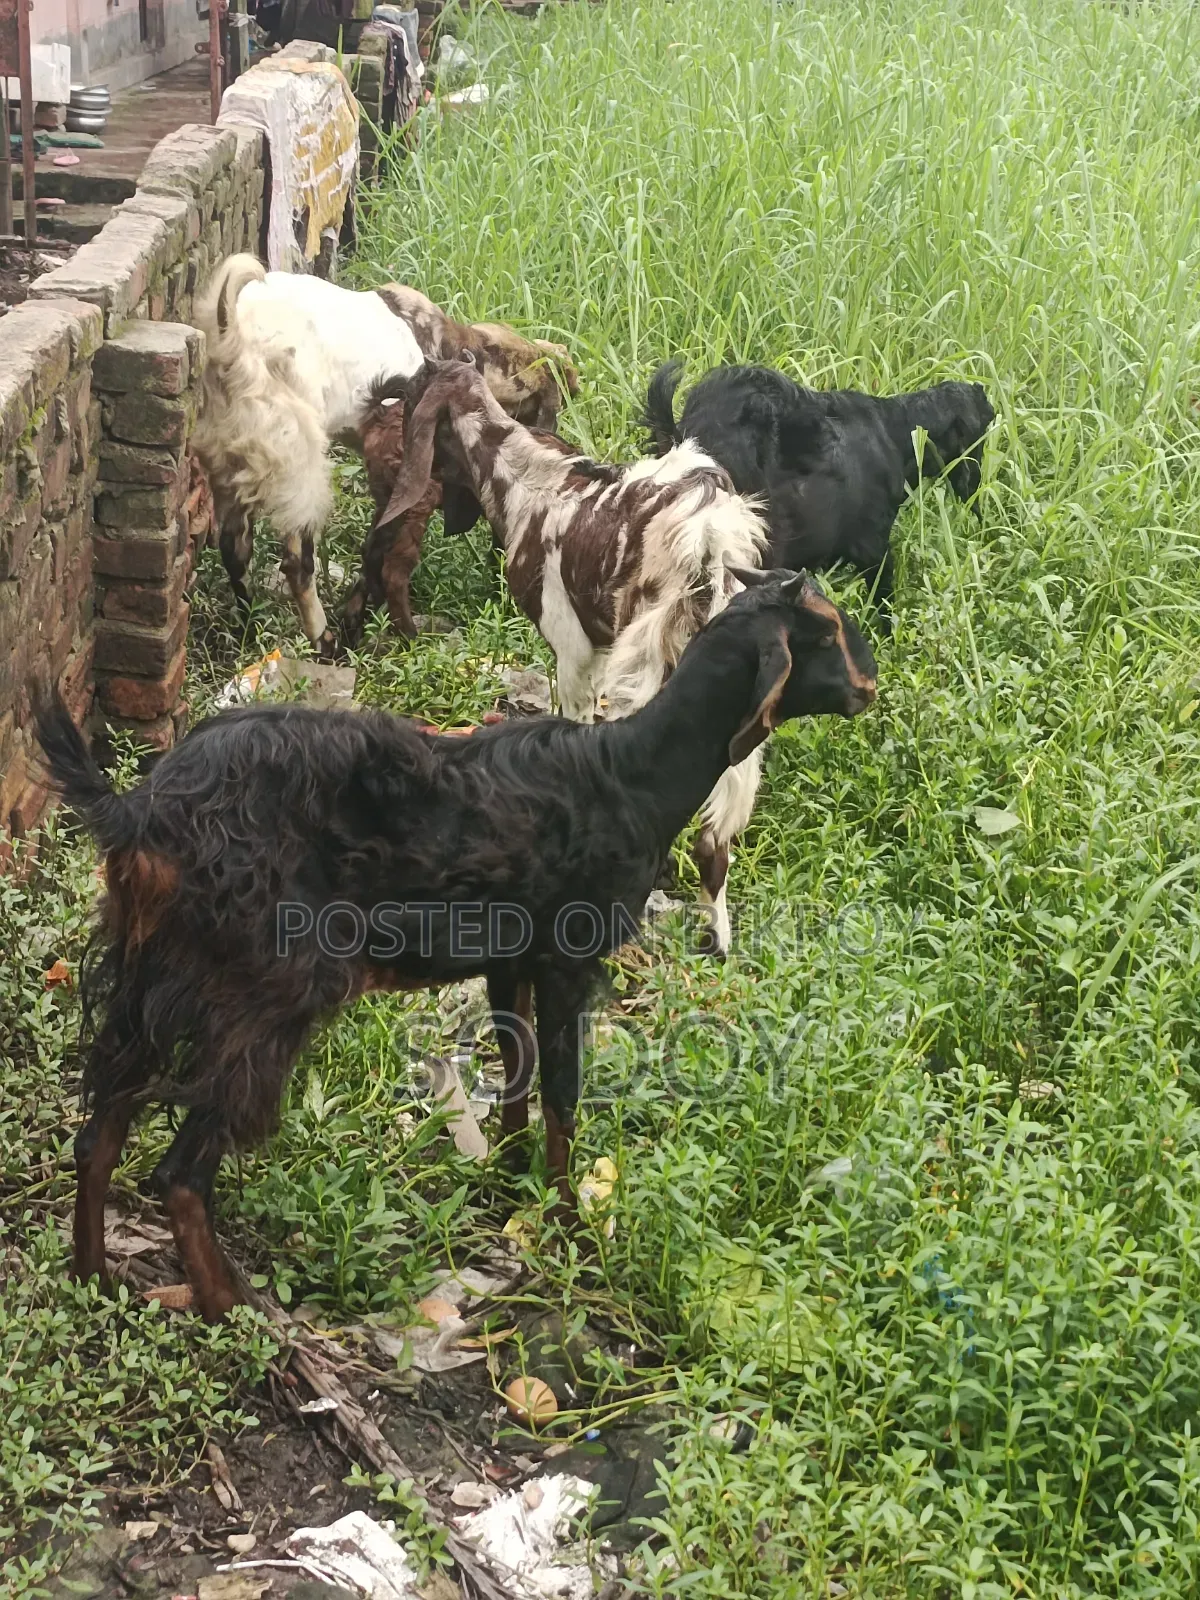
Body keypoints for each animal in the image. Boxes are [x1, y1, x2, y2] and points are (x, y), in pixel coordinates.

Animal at [38, 568, 876, 1321]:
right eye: (827, 630)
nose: (870, 686)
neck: (632, 775)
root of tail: (142, 811)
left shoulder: (511, 959)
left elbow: (516, 1068)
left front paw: (509, 1182)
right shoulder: (571, 958)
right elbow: (563, 1093)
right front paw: (566, 1224)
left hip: (154, 971)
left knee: (99, 1130)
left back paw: (93, 1277)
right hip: (268, 986)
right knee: (180, 1171)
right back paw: (225, 1304)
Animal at [191, 255, 425, 658]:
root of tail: (230, 335)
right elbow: (376, 551)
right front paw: (354, 624)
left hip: (231, 466)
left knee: (234, 549)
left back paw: (249, 628)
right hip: (299, 464)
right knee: (297, 563)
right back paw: (323, 639)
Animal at [372, 355, 775, 955]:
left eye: (411, 400)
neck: (529, 482)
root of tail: (710, 536)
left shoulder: (574, 650)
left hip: (646, 661)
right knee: (718, 827)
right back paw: (717, 936)